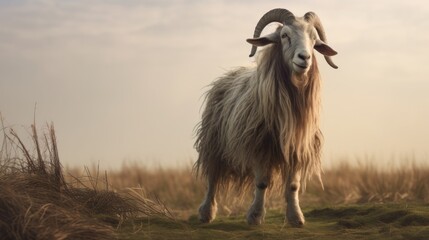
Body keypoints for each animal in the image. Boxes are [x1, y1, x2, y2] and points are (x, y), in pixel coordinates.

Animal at [194, 8, 338, 226]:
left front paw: (296, 217)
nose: (304, 58)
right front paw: (255, 216)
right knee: (212, 176)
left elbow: (293, 185)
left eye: (314, 40)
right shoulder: (259, 144)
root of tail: (229, 74)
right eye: (285, 35)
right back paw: (206, 213)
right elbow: (261, 182)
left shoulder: (297, 147)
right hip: (214, 141)